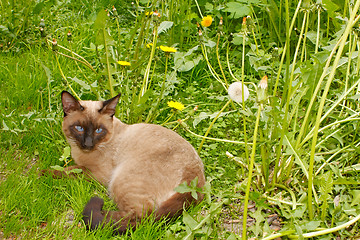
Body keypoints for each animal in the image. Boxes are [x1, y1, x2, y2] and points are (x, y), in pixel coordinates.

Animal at [56, 91, 204, 233]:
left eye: (99, 130)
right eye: (79, 128)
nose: (88, 144)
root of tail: (195, 180)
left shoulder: (96, 173)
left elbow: (66, 171)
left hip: (119, 181)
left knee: (141, 217)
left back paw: (100, 215)